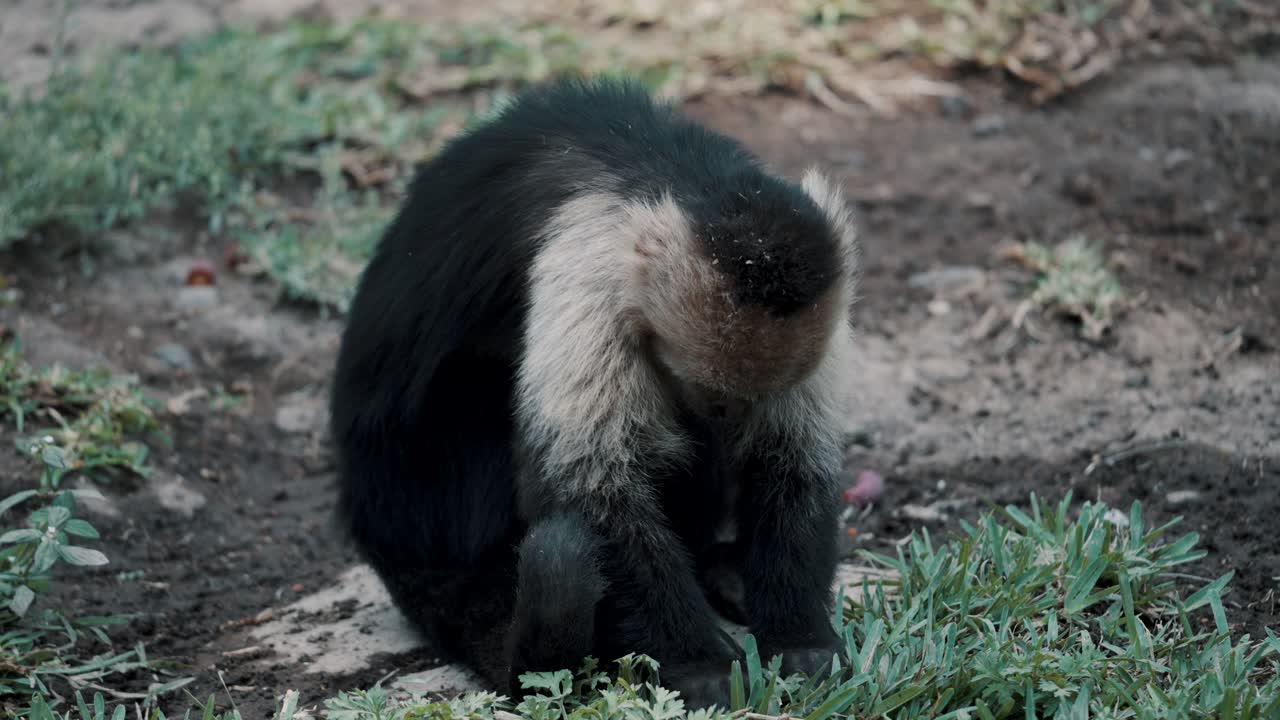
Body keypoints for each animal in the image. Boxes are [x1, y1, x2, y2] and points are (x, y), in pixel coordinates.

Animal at [328, 75, 861, 709]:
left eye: (749, 397)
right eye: (712, 390)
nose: (727, 413)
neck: (669, 169)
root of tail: (394, 549)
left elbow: (794, 458)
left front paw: (801, 637)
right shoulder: (591, 266)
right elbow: (593, 488)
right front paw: (696, 663)